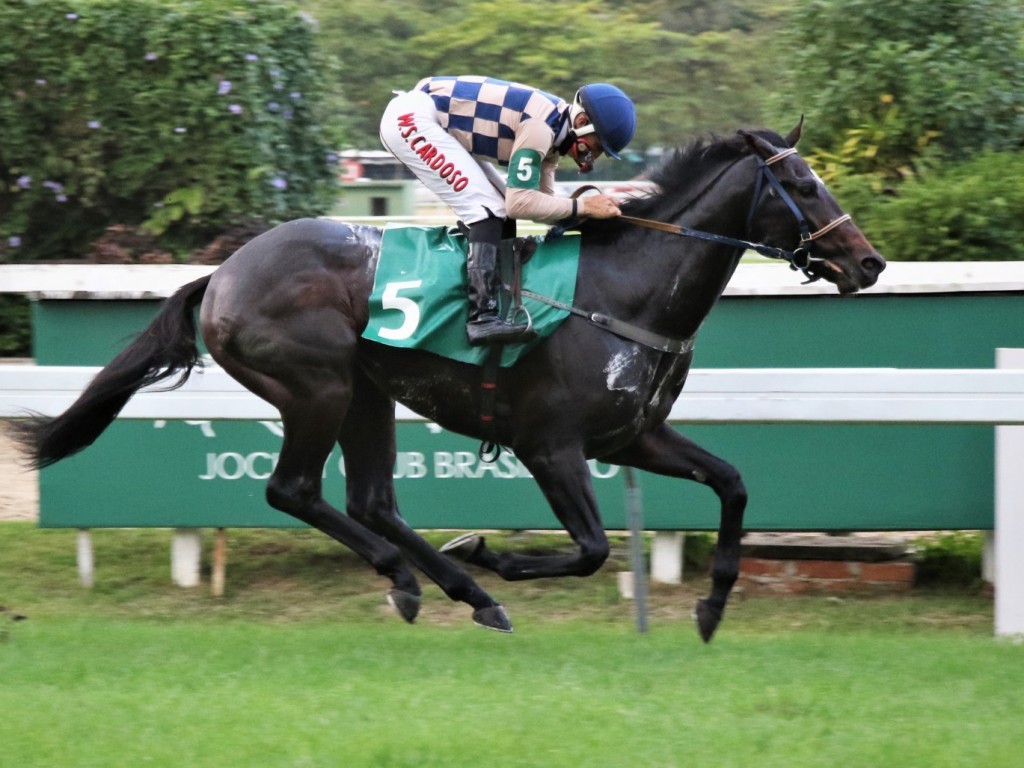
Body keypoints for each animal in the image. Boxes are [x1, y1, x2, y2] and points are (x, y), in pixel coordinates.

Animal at [12, 121, 884, 643]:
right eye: (805, 185)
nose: (869, 261)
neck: (622, 290)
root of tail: (222, 274)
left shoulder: (632, 435)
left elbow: (731, 482)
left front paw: (710, 606)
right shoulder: (550, 445)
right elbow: (593, 549)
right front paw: (495, 553)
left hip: (366, 392)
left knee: (370, 500)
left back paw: (449, 587)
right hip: (318, 387)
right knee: (294, 491)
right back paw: (444, 580)